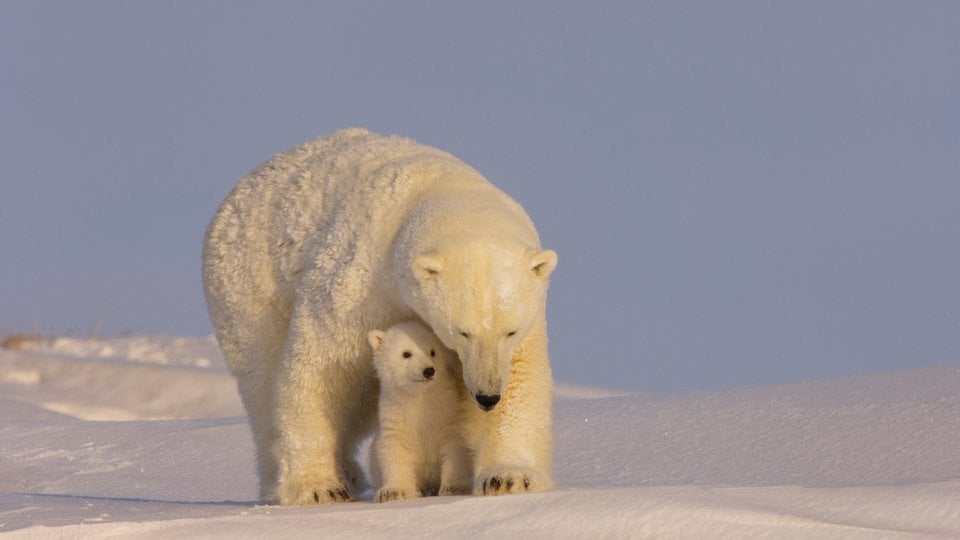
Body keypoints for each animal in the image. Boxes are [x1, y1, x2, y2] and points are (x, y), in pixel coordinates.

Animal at [368, 320, 472, 502]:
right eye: (406, 353)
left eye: (433, 351)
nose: (428, 371)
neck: (419, 399)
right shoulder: (395, 415)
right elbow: (393, 448)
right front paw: (393, 492)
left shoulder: (448, 414)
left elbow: (456, 447)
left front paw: (454, 488)